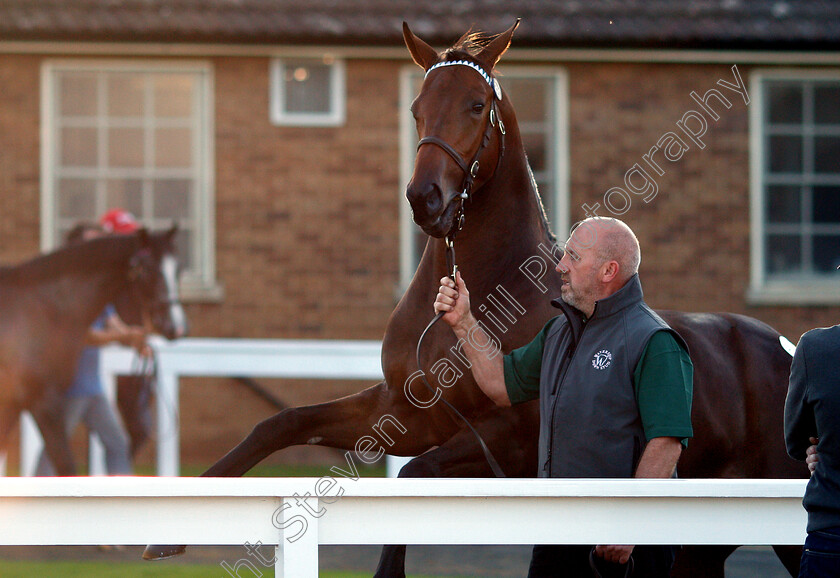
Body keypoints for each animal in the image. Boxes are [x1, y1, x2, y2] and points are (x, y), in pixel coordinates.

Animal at [0, 227, 185, 474]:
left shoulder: (15, 403)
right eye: (147, 268)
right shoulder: (43, 401)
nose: (175, 326)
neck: (41, 308)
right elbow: (66, 465)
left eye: (178, 269)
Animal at [148, 21, 804, 572]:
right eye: (417, 107)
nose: (426, 199)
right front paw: (167, 532)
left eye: (477, 104)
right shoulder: (404, 413)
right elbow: (280, 424)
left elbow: (412, 479)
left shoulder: (506, 445)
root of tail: (790, 350)